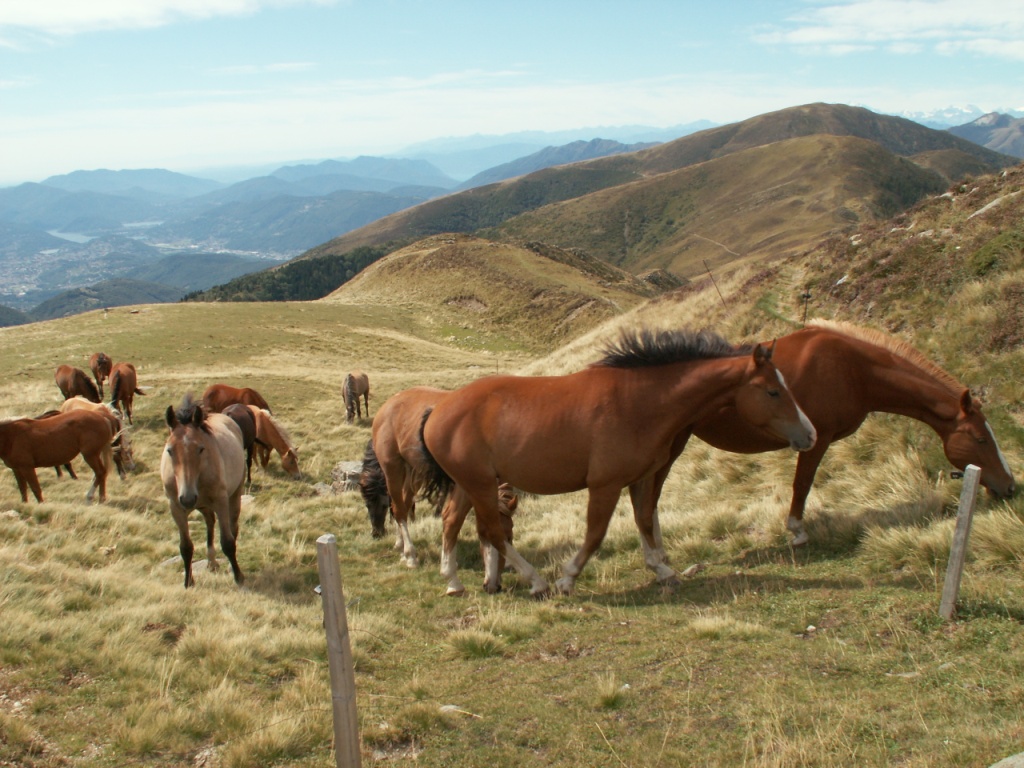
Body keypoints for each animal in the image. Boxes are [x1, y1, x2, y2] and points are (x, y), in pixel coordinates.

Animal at [160, 397, 248, 589]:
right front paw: (188, 581)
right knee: (210, 523)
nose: (187, 498)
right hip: (204, 506)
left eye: (200, 449)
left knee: (233, 528)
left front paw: (238, 576)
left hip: (234, 497)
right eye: (169, 450)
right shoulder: (176, 508)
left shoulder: (221, 502)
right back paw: (211, 562)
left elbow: (228, 542)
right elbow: (185, 547)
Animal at [417, 327, 815, 598]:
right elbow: (595, 535)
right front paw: (567, 577)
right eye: (773, 391)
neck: (638, 402)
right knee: (493, 533)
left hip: (469, 484)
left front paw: (661, 569)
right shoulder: (605, 486)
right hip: (481, 485)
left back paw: (454, 582)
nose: (809, 434)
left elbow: (645, 521)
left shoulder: (641, 479)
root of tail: (440, 407)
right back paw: (536, 581)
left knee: (452, 523)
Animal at [688, 319, 1015, 548]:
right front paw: (797, 530)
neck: (853, 368)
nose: (1011, 487)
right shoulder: (817, 439)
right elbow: (802, 484)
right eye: (981, 439)